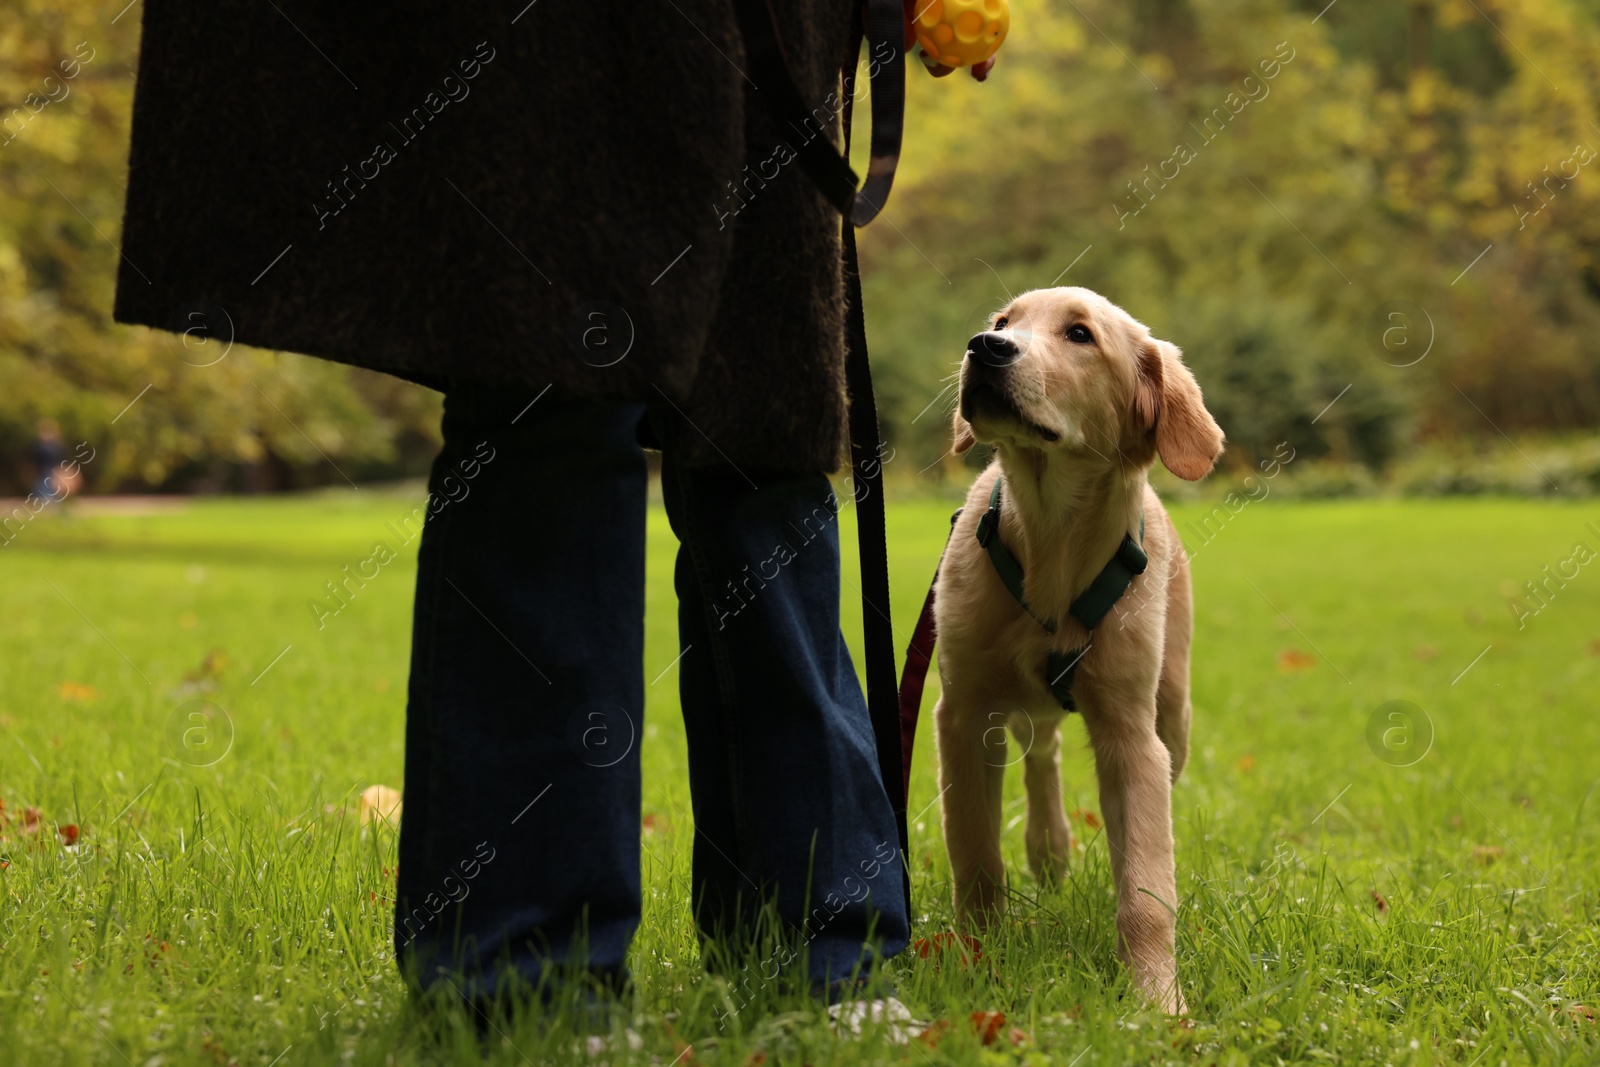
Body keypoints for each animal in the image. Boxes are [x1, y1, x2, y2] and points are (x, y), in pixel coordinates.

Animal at [934, 286, 1216, 1017]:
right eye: (1004, 323)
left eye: (1080, 335)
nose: (984, 347)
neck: (1050, 543)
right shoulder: (962, 714)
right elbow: (975, 855)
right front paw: (978, 960)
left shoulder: (1132, 735)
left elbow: (1146, 887)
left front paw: (1156, 1000)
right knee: (1041, 751)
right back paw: (1049, 848)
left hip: (1174, 711)